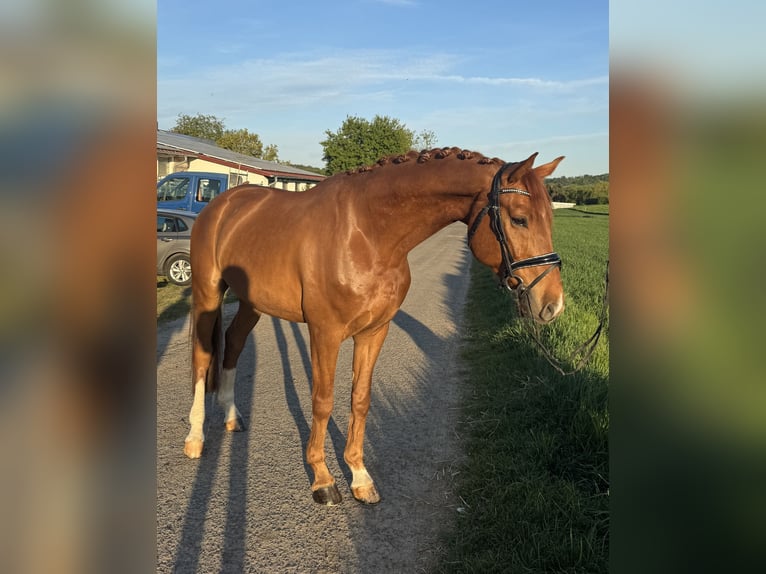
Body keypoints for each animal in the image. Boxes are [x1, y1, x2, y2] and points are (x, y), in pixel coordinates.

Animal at [184, 147, 565, 505]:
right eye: (519, 219)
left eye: (550, 218)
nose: (552, 304)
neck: (367, 232)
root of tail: (222, 204)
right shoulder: (325, 333)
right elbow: (323, 401)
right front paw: (323, 481)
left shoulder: (374, 331)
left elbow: (360, 399)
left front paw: (359, 477)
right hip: (207, 294)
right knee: (203, 359)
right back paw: (195, 437)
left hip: (252, 302)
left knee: (233, 343)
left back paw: (232, 417)